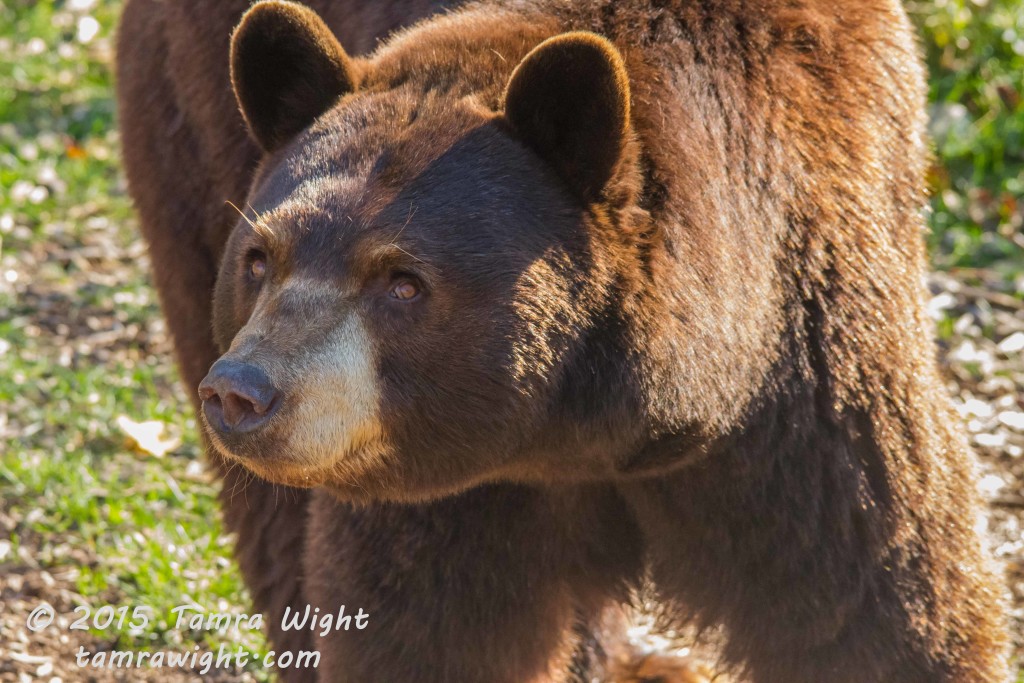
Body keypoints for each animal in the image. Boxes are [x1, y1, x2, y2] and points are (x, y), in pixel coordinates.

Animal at [117, 0, 1007, 679]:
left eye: (403, 280)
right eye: (262, 258)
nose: (244, 391)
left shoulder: (805, 377)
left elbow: (879, 594)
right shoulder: (452, 478)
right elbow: (427, 622)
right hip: (194, 138)